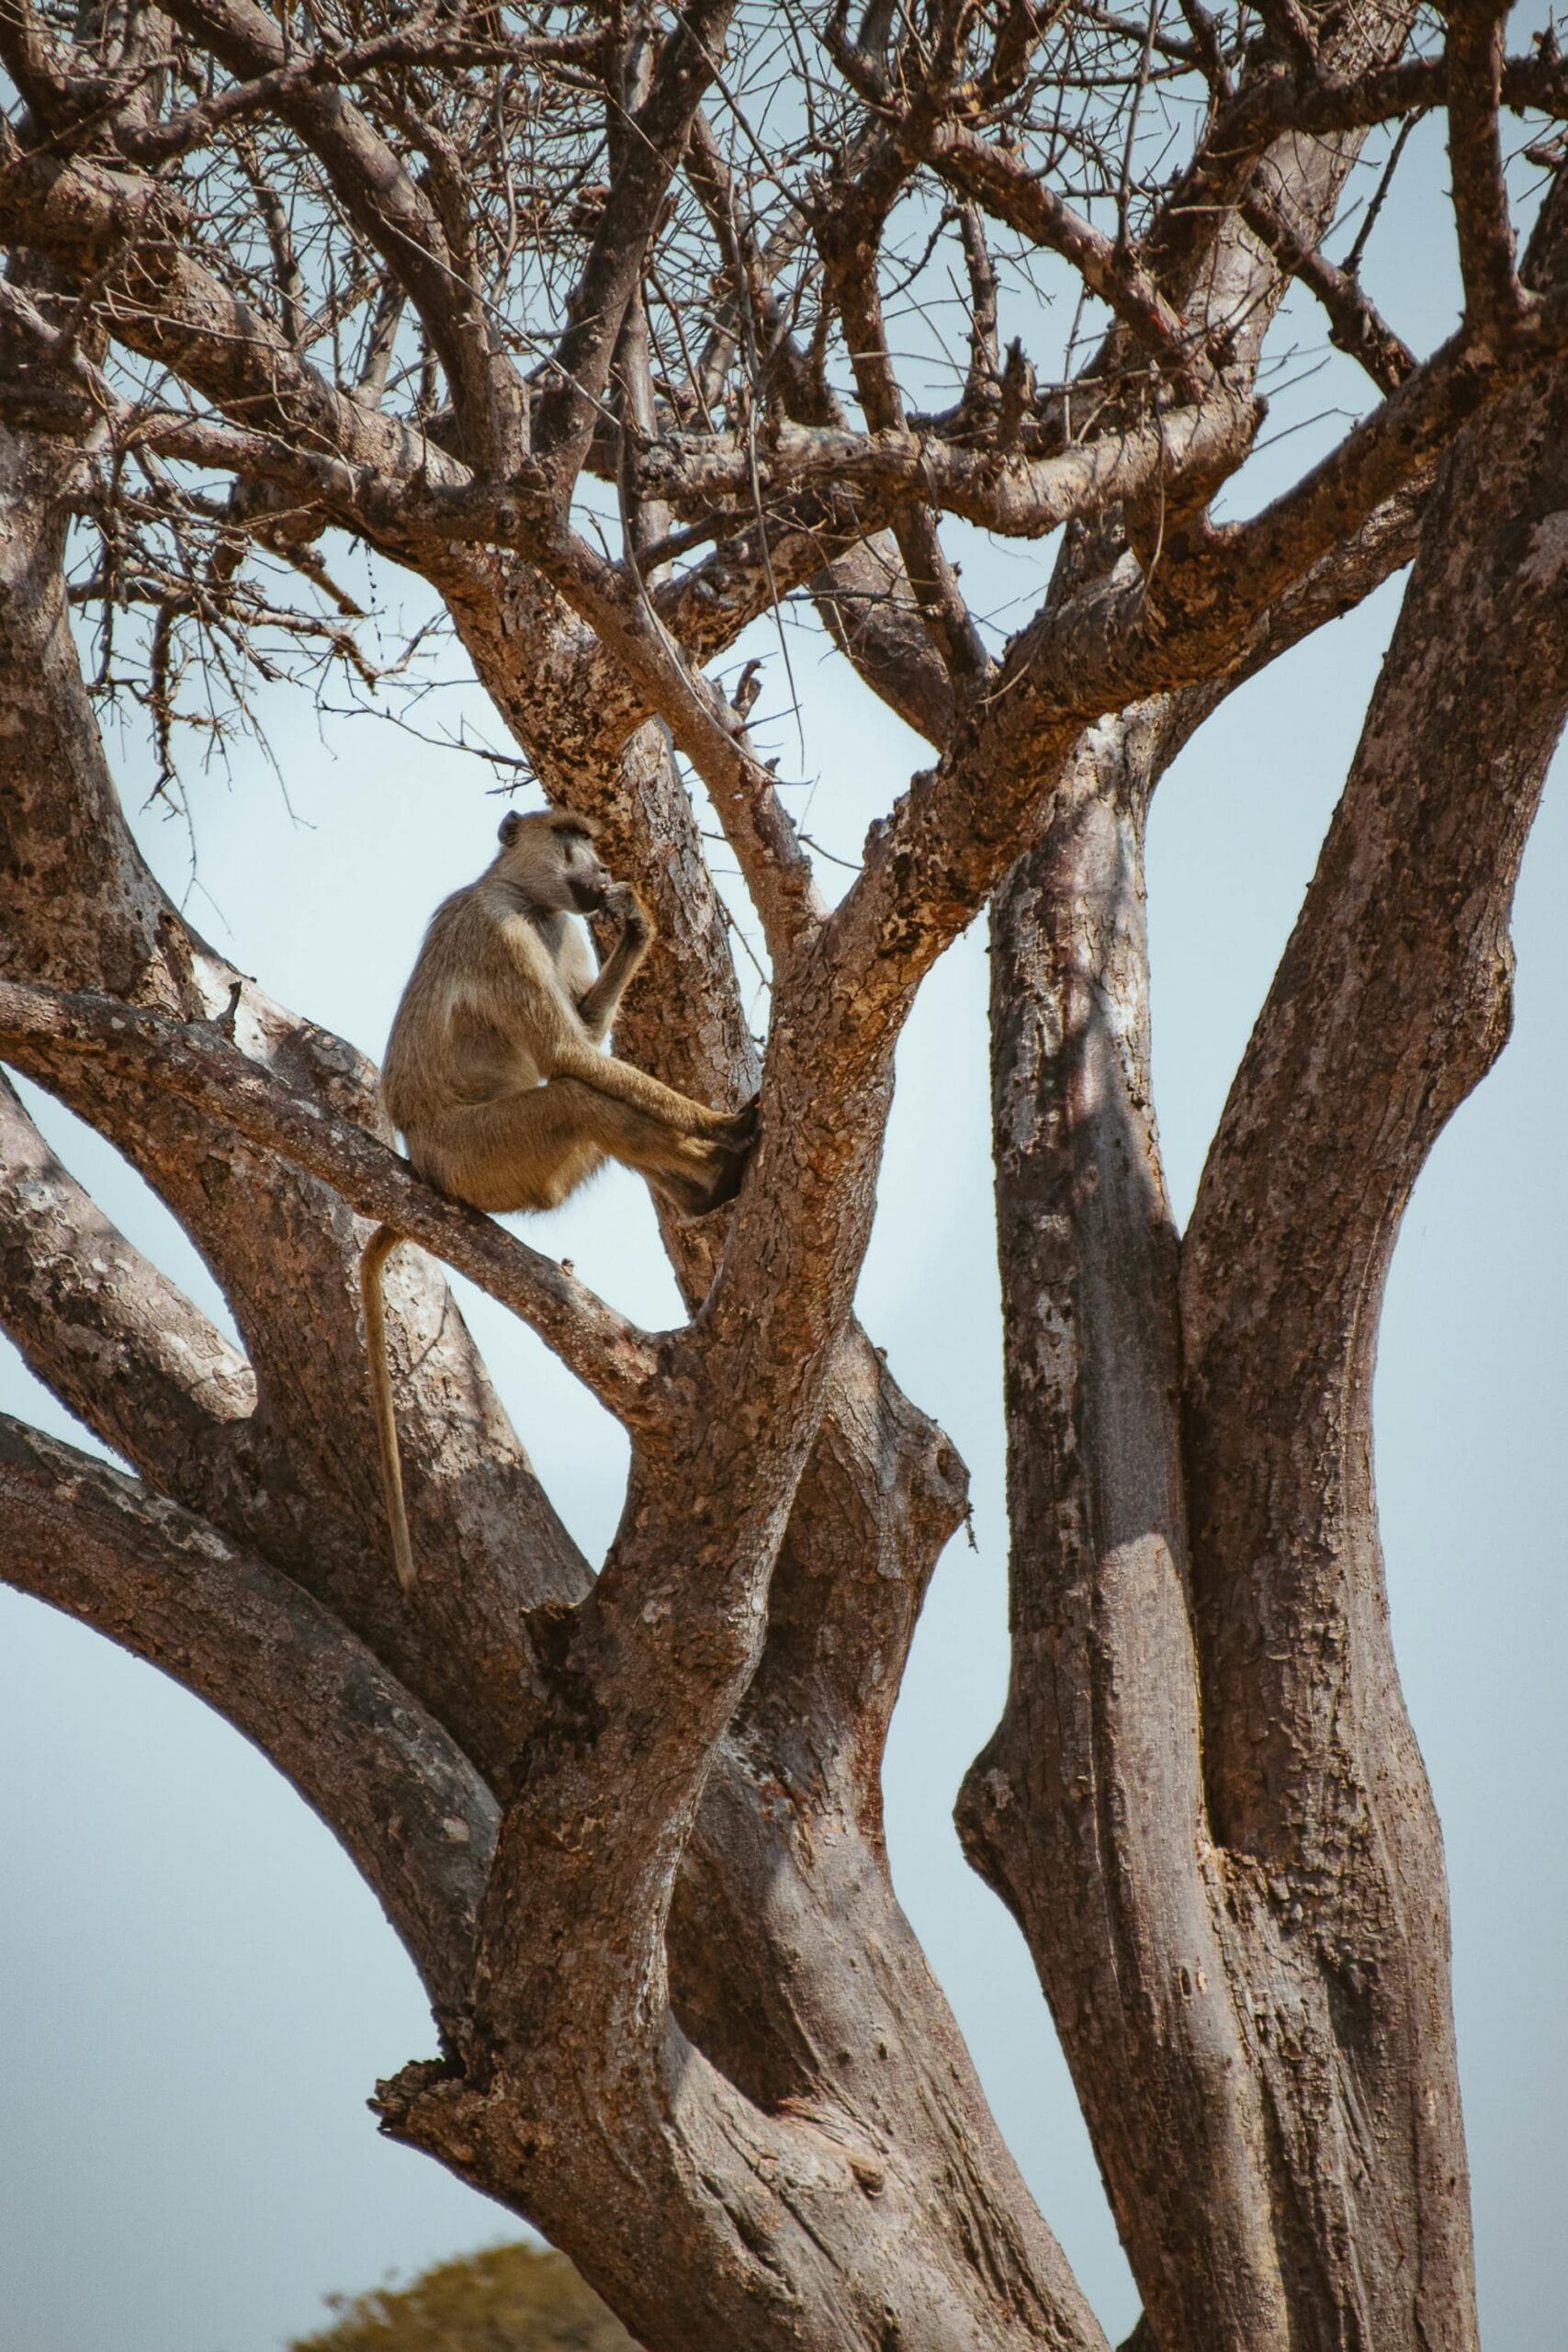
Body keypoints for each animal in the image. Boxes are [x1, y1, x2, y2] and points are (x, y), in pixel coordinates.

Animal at [361, 806, 757, 1591]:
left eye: (592, 843)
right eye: (571, 839)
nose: (602, 873)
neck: (524, 896)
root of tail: (421, 1162)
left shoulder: (562, 928)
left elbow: (585, 1032)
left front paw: (637, 924)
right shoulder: (505, 936)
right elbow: (568, 1055)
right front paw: (721, 1123)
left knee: (596, 1107)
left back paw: (704, 1190)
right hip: (484, 1158)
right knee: (575, 1096)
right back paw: (721, 1166)